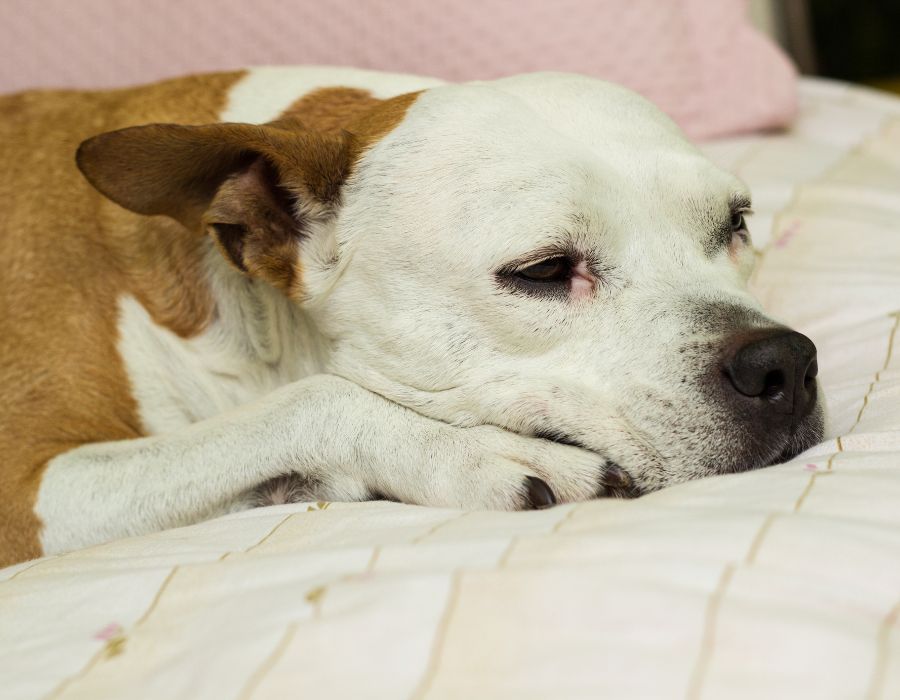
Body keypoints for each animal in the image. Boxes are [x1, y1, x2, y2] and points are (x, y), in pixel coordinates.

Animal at [0, 67, 824, 568]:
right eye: (543, 272)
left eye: (736, 223)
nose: (782, 362)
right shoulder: (28, 489)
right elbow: (313, 398)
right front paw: (472, 454)